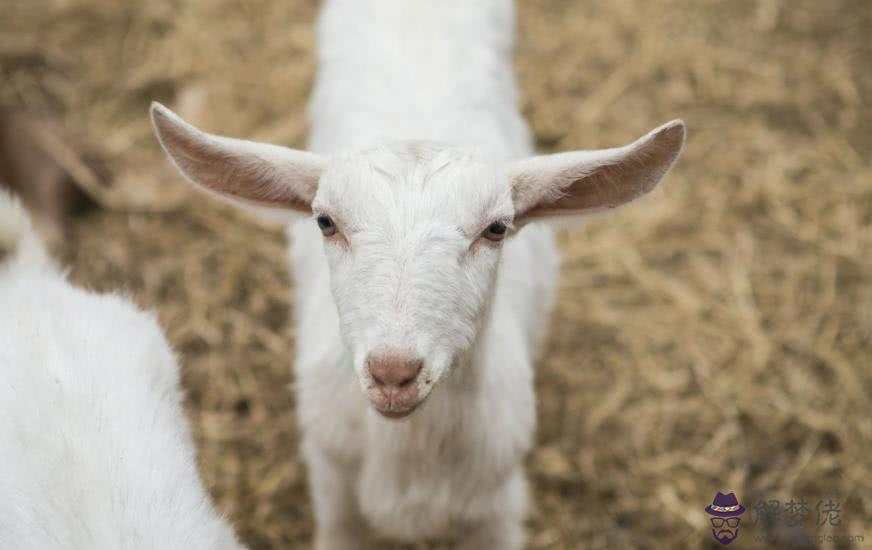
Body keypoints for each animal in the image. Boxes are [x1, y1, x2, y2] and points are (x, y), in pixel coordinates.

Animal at [148, 0, 680, 548]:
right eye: (325, 222)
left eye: (496, 228)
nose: (393, 372)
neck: (409, 454)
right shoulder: (333, 490)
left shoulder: (498, 506)